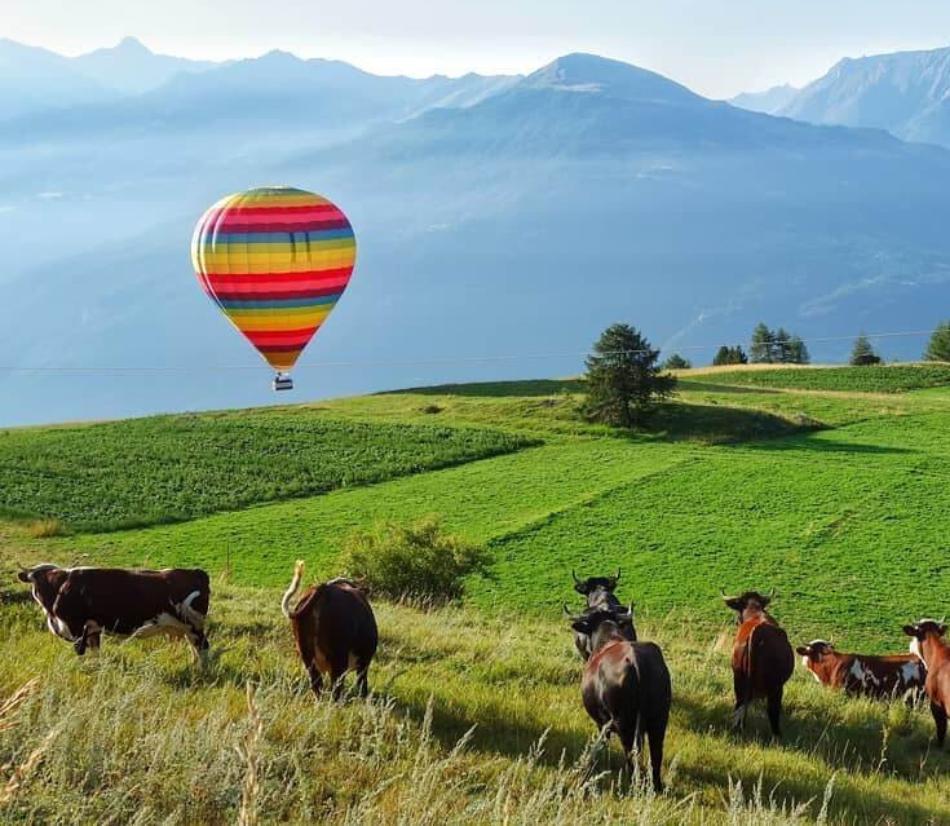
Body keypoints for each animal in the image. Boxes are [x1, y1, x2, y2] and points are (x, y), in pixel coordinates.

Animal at [16, 560, 210, 656]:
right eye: (34, 580)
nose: (38, 594)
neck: (60, 586)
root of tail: (196, 572)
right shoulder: (92, 629)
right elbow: (95, 653)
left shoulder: (76, 627)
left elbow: (81, 652)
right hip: (184, 629)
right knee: (195, 649)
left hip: (194, 625)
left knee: (203, 648)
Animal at [280, 556, 378, 700]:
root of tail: (323, 589)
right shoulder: (364, 662)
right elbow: (362, 685)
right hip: (339, 659)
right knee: (336, 689)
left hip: (307, 656)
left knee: (316, 685)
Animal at [568, 604, 672, 792]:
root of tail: (636, 660)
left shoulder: (601, 722)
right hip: (659, 719)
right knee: (656, 752)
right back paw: (656, 786)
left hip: (625, 722)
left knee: (630, 751)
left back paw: (633, 782)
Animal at [728, 584, 796, 732]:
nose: (736, 621)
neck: (754, 613)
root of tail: (756, 632)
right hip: (776, 687)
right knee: (772, 711)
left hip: (738, 678)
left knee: (739, 704)